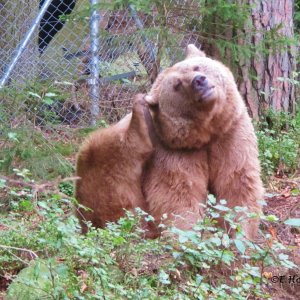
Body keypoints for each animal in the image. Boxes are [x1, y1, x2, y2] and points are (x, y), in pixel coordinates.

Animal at [145, 44, 264, 239]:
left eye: (197, 67)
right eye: (177, 84)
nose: (199, 81)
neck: (207, 134)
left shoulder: (231, 133)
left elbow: (238, 183)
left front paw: (239, 234)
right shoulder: (173, 151)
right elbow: (178, 195)